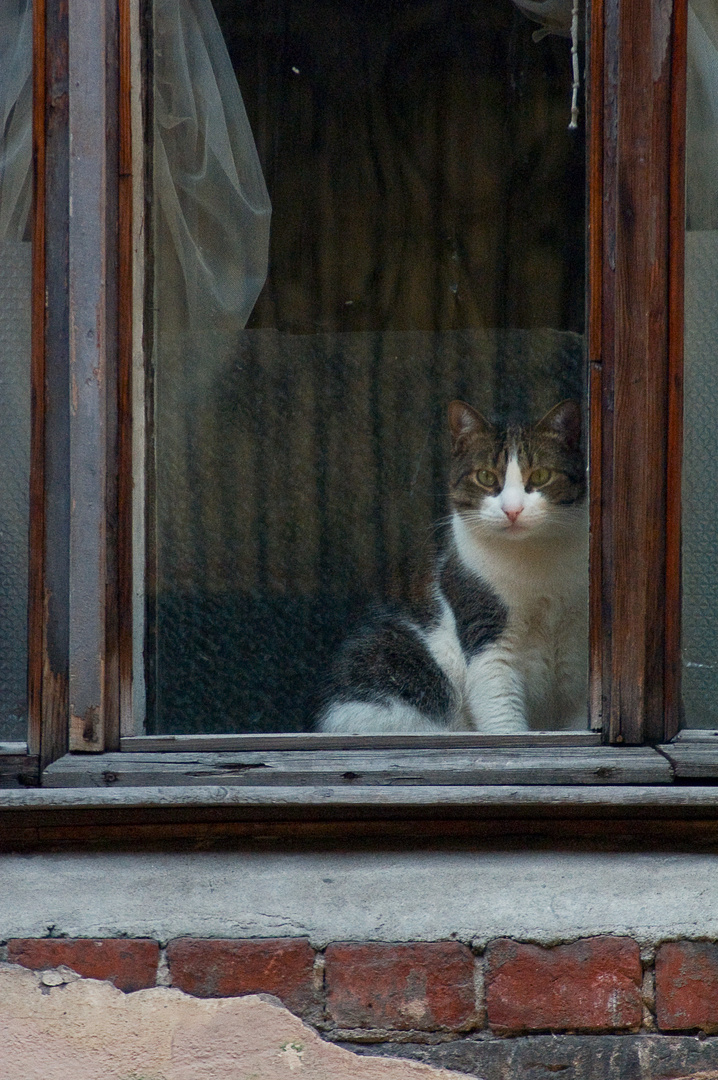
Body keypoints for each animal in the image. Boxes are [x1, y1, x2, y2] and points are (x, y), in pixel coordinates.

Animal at [317, 399, 587, 734]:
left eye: (540, 477)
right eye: (485, 477)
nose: (512, 510)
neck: (536, 562)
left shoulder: (578, 649)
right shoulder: (485, 631)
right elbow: (501, 712)